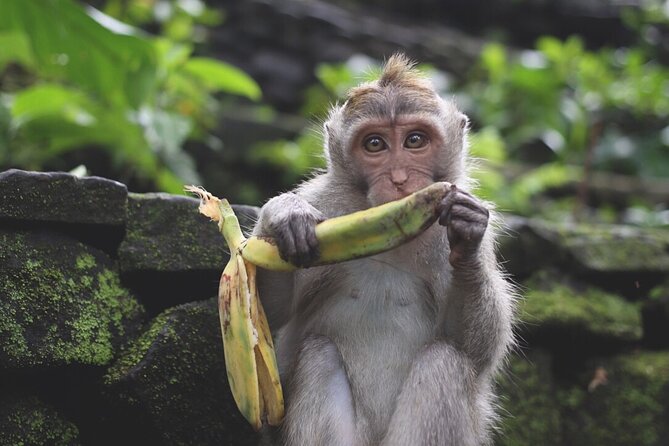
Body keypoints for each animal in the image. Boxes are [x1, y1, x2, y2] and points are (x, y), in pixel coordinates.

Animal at [253, 54, 515, 446]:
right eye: (375, 144)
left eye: (415, 140)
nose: (399, 179)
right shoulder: (324, 204)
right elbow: (270, 318)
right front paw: (282, 215)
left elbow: (477, 348)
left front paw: (467, 236)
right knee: (318, 355)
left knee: (445, 360)